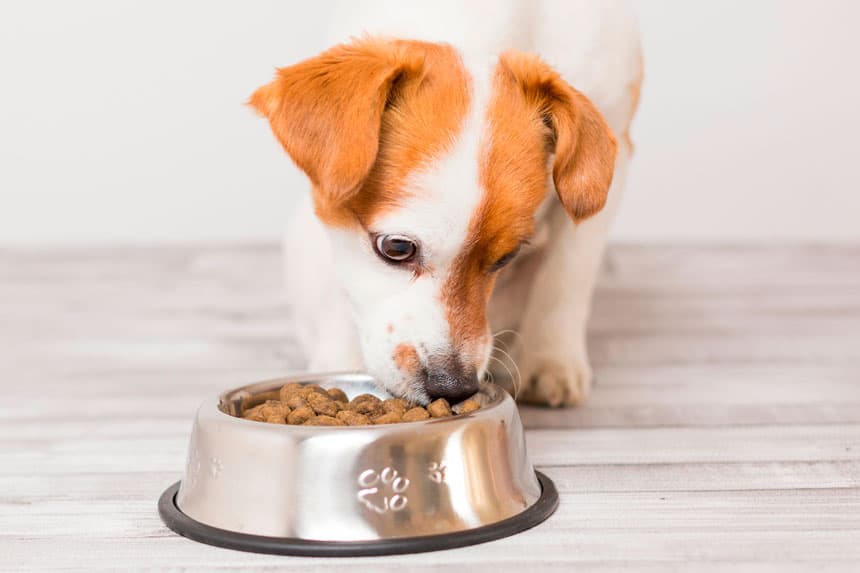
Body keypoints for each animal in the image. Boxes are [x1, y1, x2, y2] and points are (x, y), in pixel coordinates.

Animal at [249, 0, 640, 406]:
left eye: (507, 257)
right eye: (397, 247)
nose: (452, 387)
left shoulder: (609, 157)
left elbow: (566, 274)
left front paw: (551, 360)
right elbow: (342, 289)